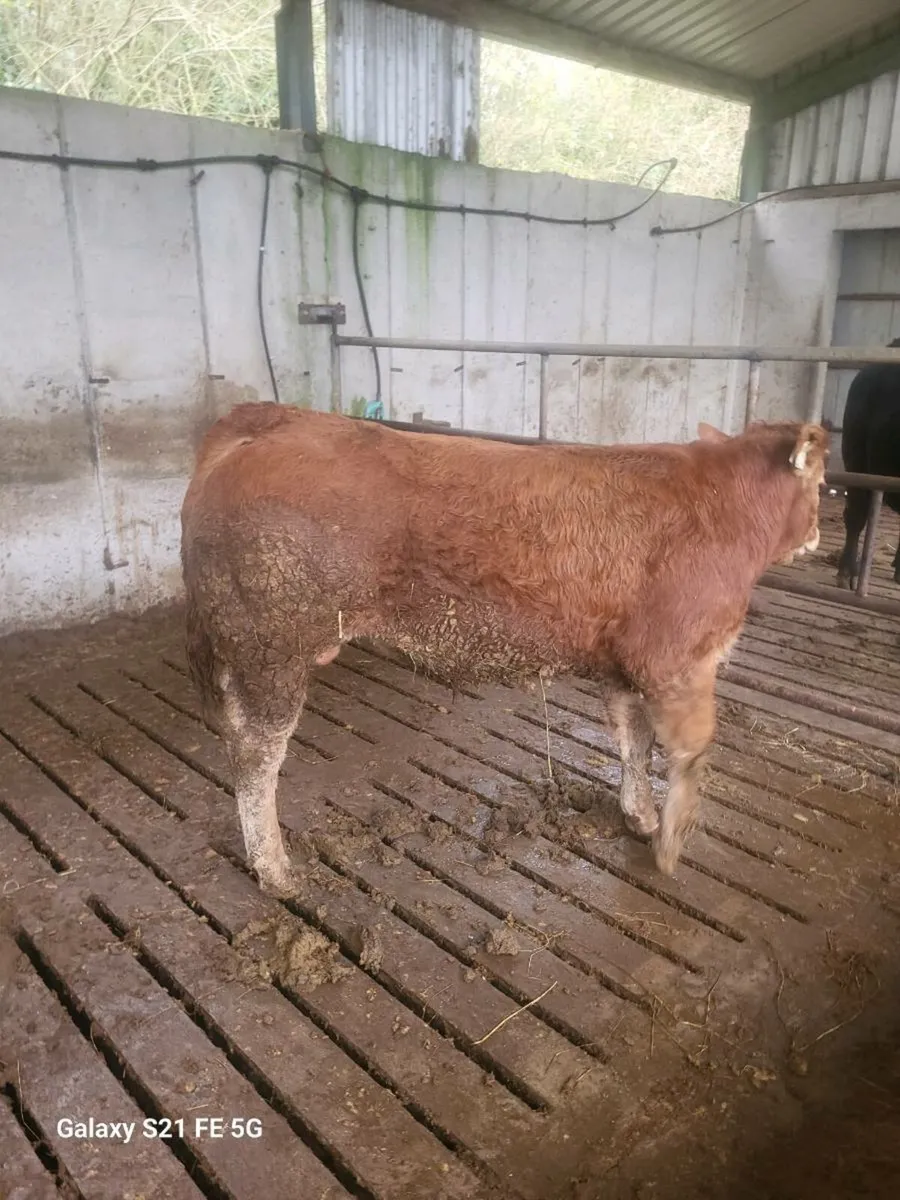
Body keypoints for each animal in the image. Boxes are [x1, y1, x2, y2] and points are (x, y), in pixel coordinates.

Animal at [181, 404, 828, 897]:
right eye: (823, 483)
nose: (819, 534)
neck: (723, 505)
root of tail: (270, 419)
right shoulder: (680, 659)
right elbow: (690, 755)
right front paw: (670, 847)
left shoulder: (625, 664)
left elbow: (632, 743)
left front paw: (640, 816)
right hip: (274, 650)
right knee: (256, 758)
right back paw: (276, 871)